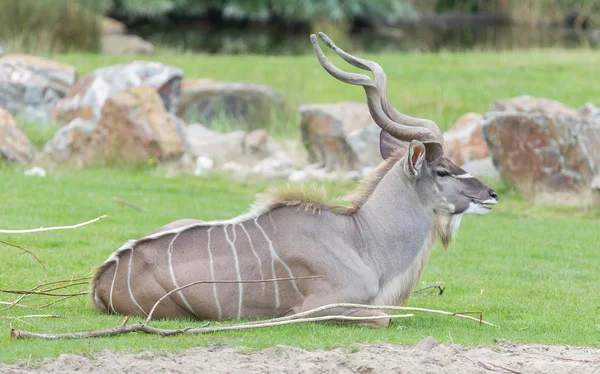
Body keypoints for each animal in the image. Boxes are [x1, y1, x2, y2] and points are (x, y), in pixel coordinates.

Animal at [90, 32, 496, 328]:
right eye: (442, 170)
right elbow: (382, 318)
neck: (361, 239)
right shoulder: (320, 308)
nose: (490, 193)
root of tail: (103, 278)